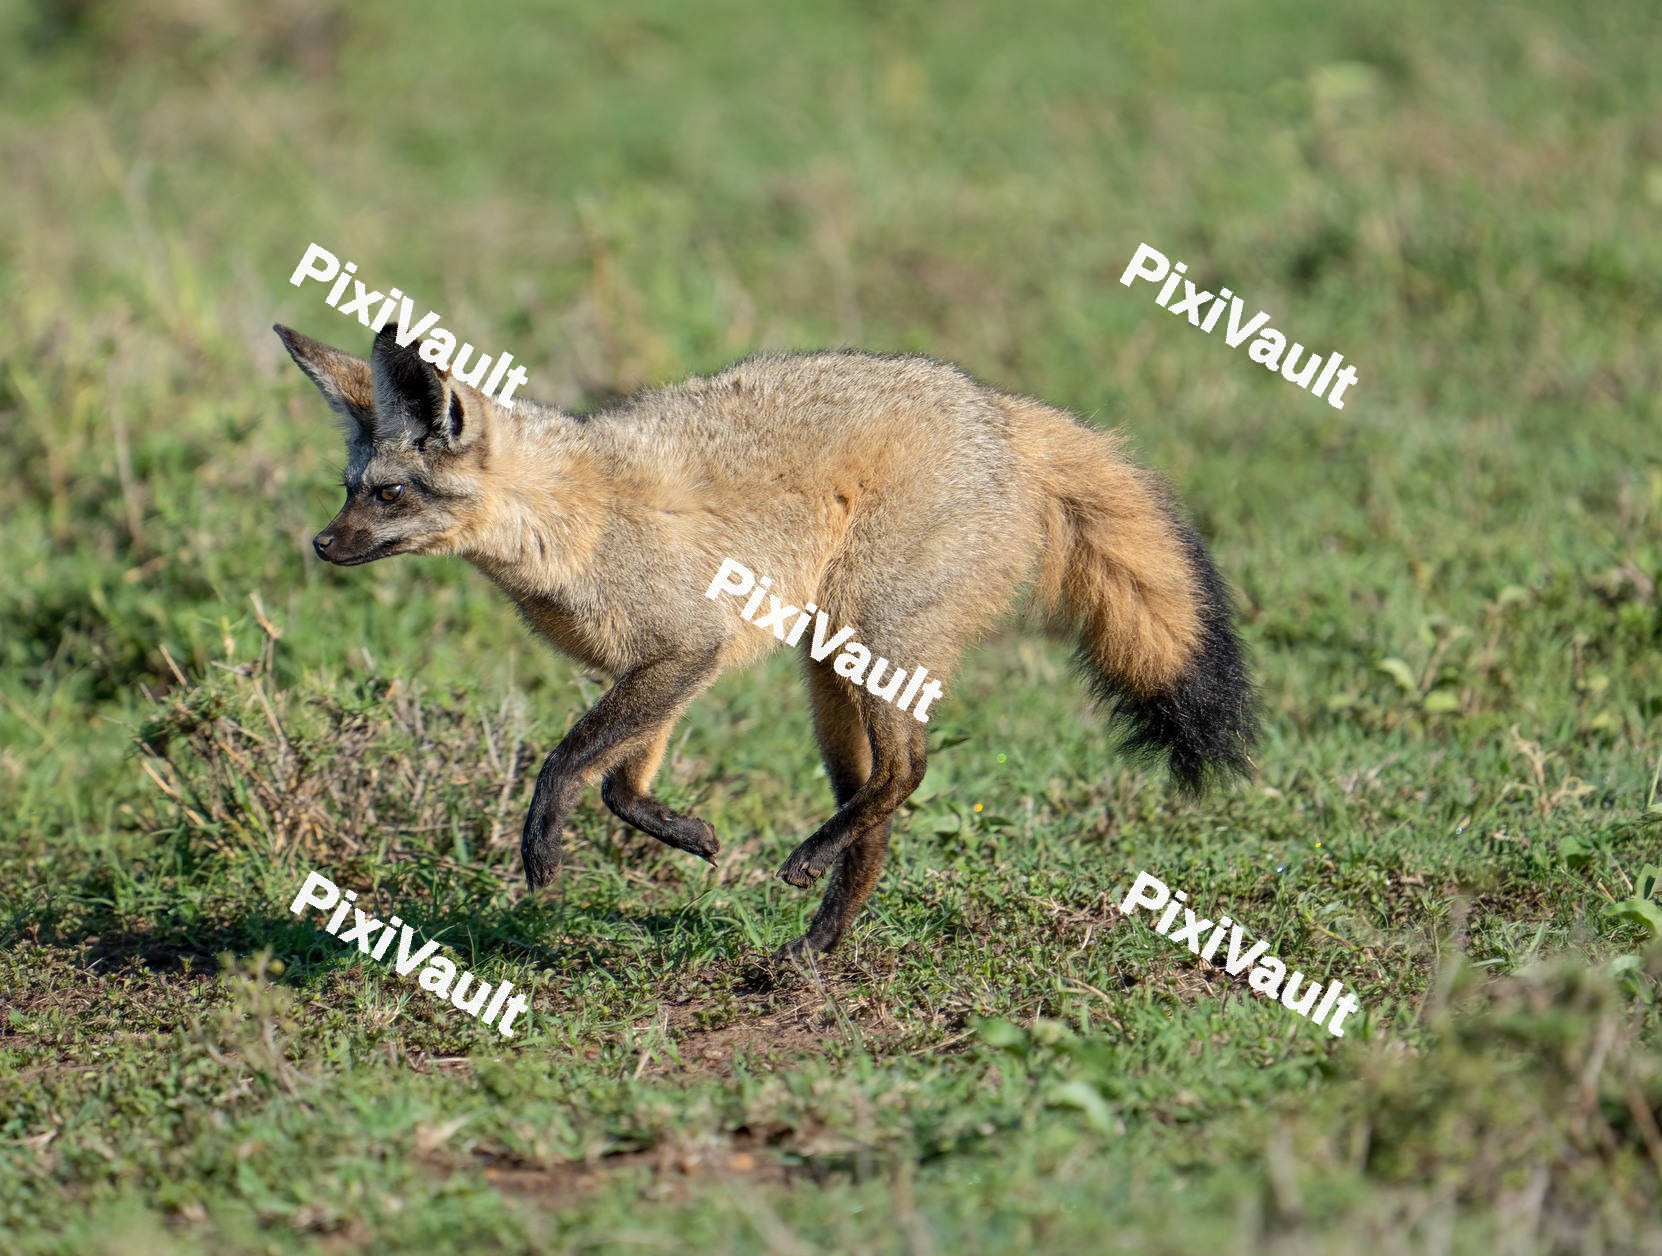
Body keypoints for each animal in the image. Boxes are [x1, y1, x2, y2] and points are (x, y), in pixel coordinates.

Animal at [274, 322, 1257, 957]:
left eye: (390, 495)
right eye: (350, 489)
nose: (319, 545)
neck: (572, 522)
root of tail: (999, 412)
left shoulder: (686, 649)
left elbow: (569, 762)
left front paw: (541, 842)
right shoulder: (666, 664)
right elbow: (621, 783)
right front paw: (687, 834)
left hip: (870, 639)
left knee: (907, 773)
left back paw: (809, 866)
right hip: (827, 668)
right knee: (880, 808)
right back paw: (819, 939)